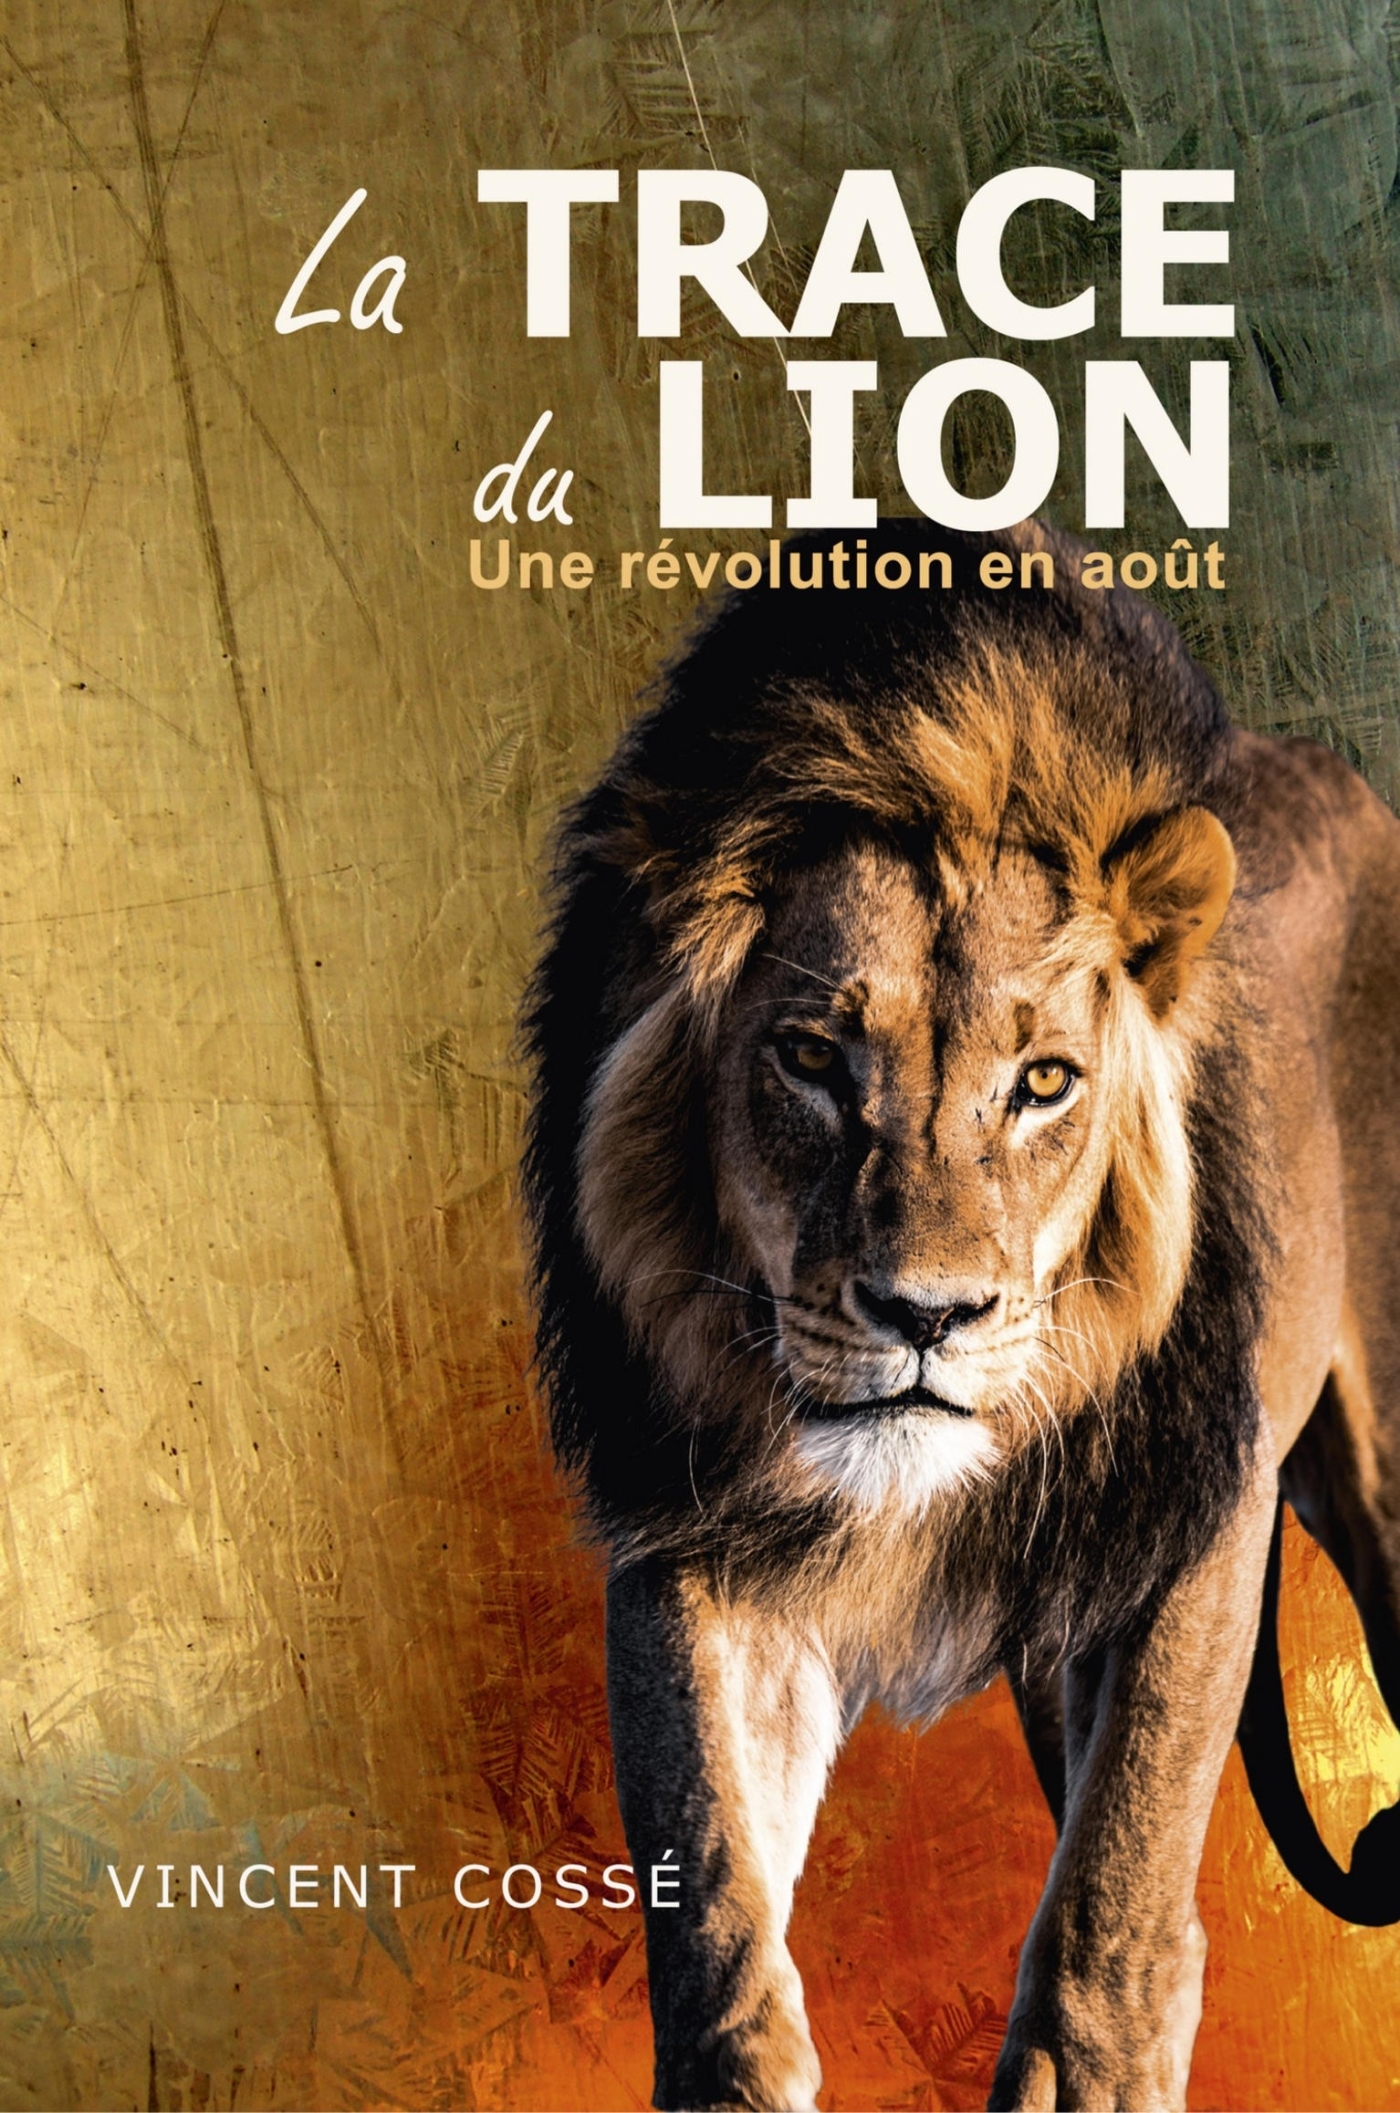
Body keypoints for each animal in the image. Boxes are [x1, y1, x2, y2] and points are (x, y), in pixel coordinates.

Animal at [521, 517, 1400, 2112]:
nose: (925, 1315)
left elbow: (1116, 1885)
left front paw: (1080, 2067)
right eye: (810, 1059)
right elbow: (718, 1904)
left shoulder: (1194, 1507)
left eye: (1043, 1082)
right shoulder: (693, 1523)